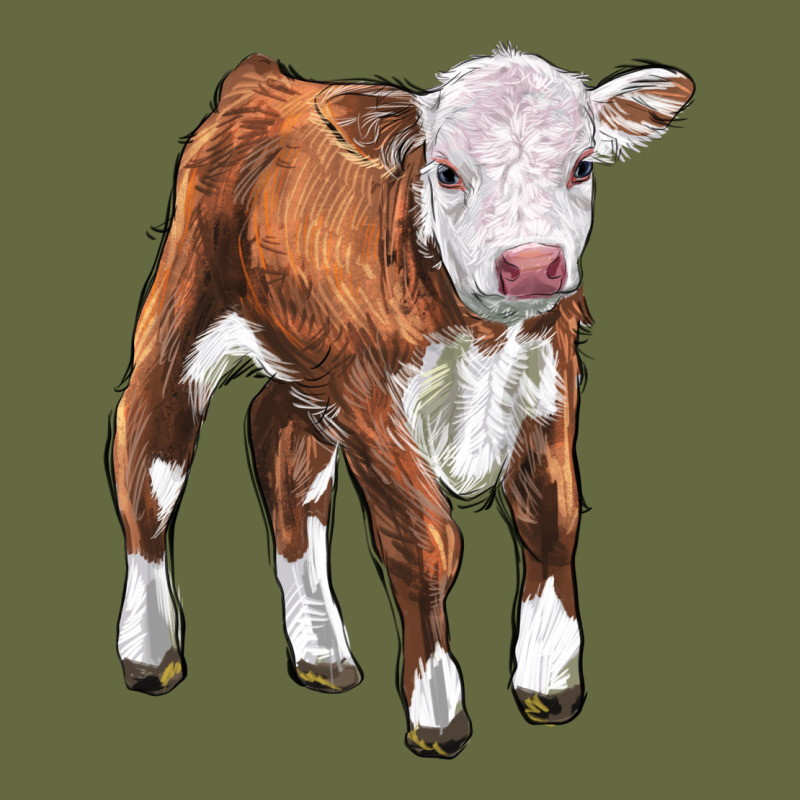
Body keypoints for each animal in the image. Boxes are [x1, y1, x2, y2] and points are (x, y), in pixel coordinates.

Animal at [109, 45, 694, 758]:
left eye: (582, 165)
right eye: (445, 172)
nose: (530, 265)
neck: (482, 333)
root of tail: (264, 79)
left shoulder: (548, 385)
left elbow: (551, 522)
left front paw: (549, 682)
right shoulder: (371, 407)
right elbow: (426, 544)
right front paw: (437, 711)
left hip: (309, 364)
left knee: (282, 447)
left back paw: (322, 653)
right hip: (182, 309)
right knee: (149, 456)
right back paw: (150, 654)